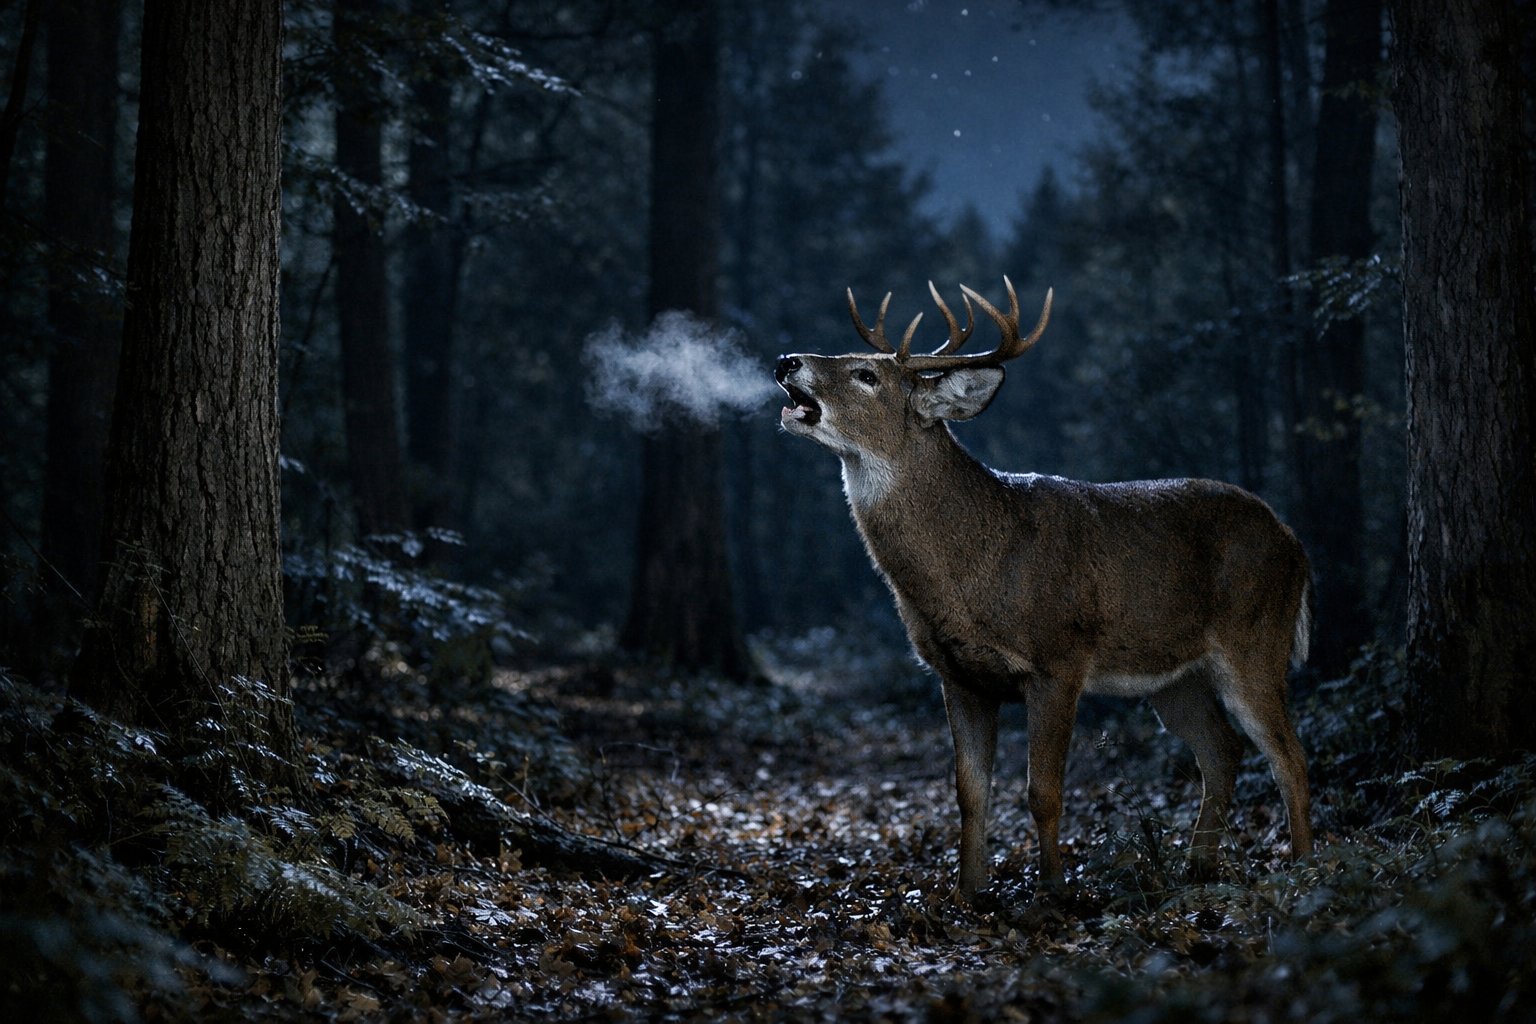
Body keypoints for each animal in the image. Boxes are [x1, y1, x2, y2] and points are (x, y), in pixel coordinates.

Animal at [775, 278, 1313, 901]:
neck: (972, 568)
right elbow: (969, 794)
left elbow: (1043, 792)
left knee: (1289, 754)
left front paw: (1051, 892)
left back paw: (1304, 868)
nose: (786, 359)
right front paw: (969, 893)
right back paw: (1197, 868)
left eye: (867, 374)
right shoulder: (957, 676)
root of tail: (1294, 543)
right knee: (1223, 750)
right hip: (1174, 677)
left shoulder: (1059, 659)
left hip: (1256, 640)